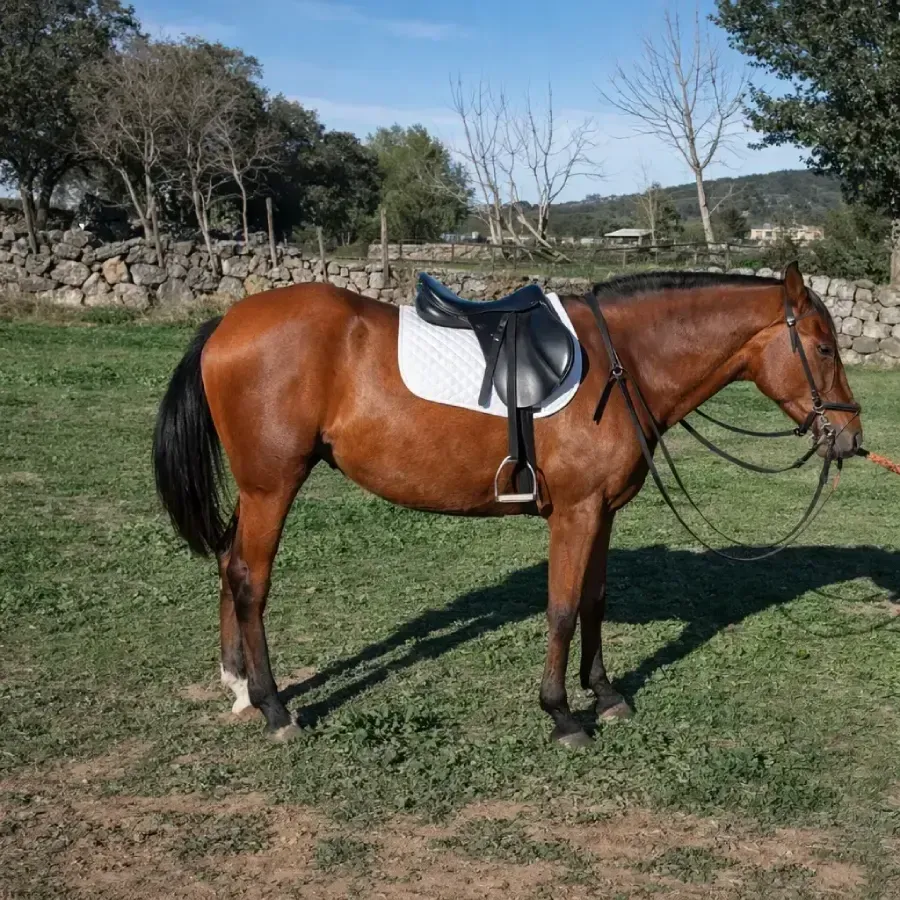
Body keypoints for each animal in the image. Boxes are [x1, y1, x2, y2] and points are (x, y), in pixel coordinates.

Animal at [152, 262, 862, 746]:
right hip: (272, 486)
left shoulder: (602, 511)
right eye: (825, 348)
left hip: (256, 490)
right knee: (250, 580)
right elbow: (562, 609)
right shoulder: (575, 512)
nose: (851, 437)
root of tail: (226, 324)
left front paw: (605, 694)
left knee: (227, 565)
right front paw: (562, 715)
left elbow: (595, 601)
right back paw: (274, 708)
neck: (622, 364)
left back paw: (239, 687)